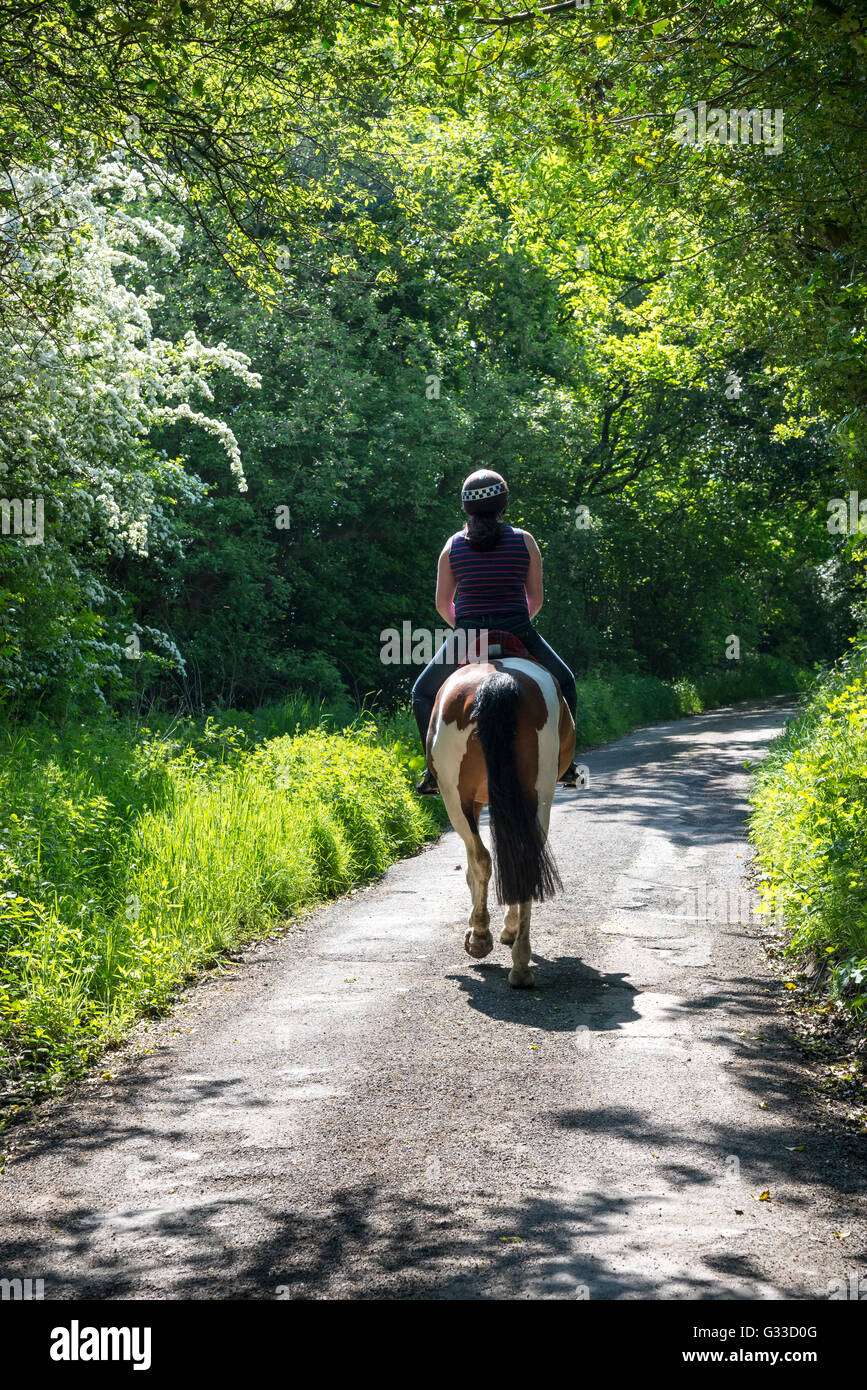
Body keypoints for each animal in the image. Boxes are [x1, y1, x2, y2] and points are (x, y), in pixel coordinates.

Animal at [427, 639, 575, 989]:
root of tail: (496, 681)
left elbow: (473, 868)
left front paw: (479, 928)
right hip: (536, 795)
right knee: (523, 859)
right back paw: (520, 964)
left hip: (456, 797)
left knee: (484, 858)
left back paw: (484, 940)